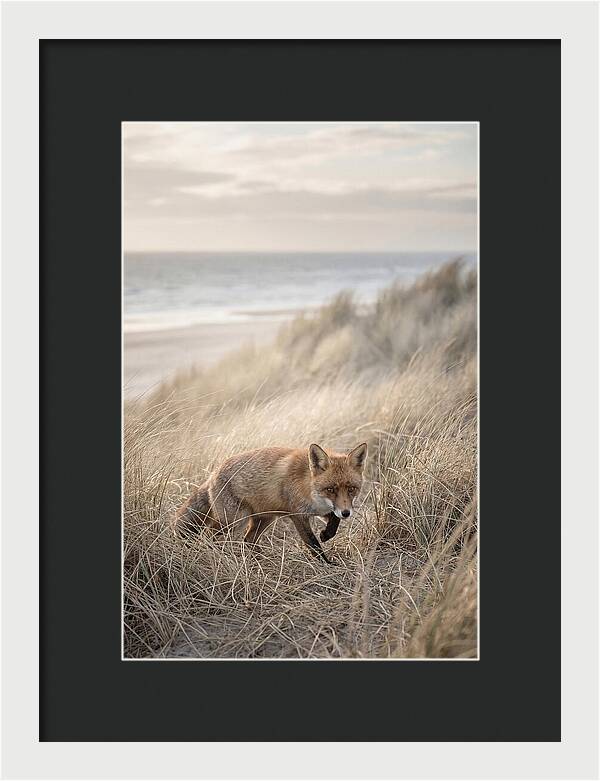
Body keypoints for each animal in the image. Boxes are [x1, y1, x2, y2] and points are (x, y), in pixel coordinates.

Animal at [172, 442, 368, 564]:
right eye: (331, 489)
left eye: (351, 489)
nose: (347, 513)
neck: (309, 486)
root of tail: (212, 474)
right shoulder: (298, 515)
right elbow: (313, 544)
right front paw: (326, 564)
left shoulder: (323, 510)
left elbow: (334, 521)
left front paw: (326, 534)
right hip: (235, 521)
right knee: (209, 535)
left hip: (264, 519)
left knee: (248, 539)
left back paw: (259, 559)